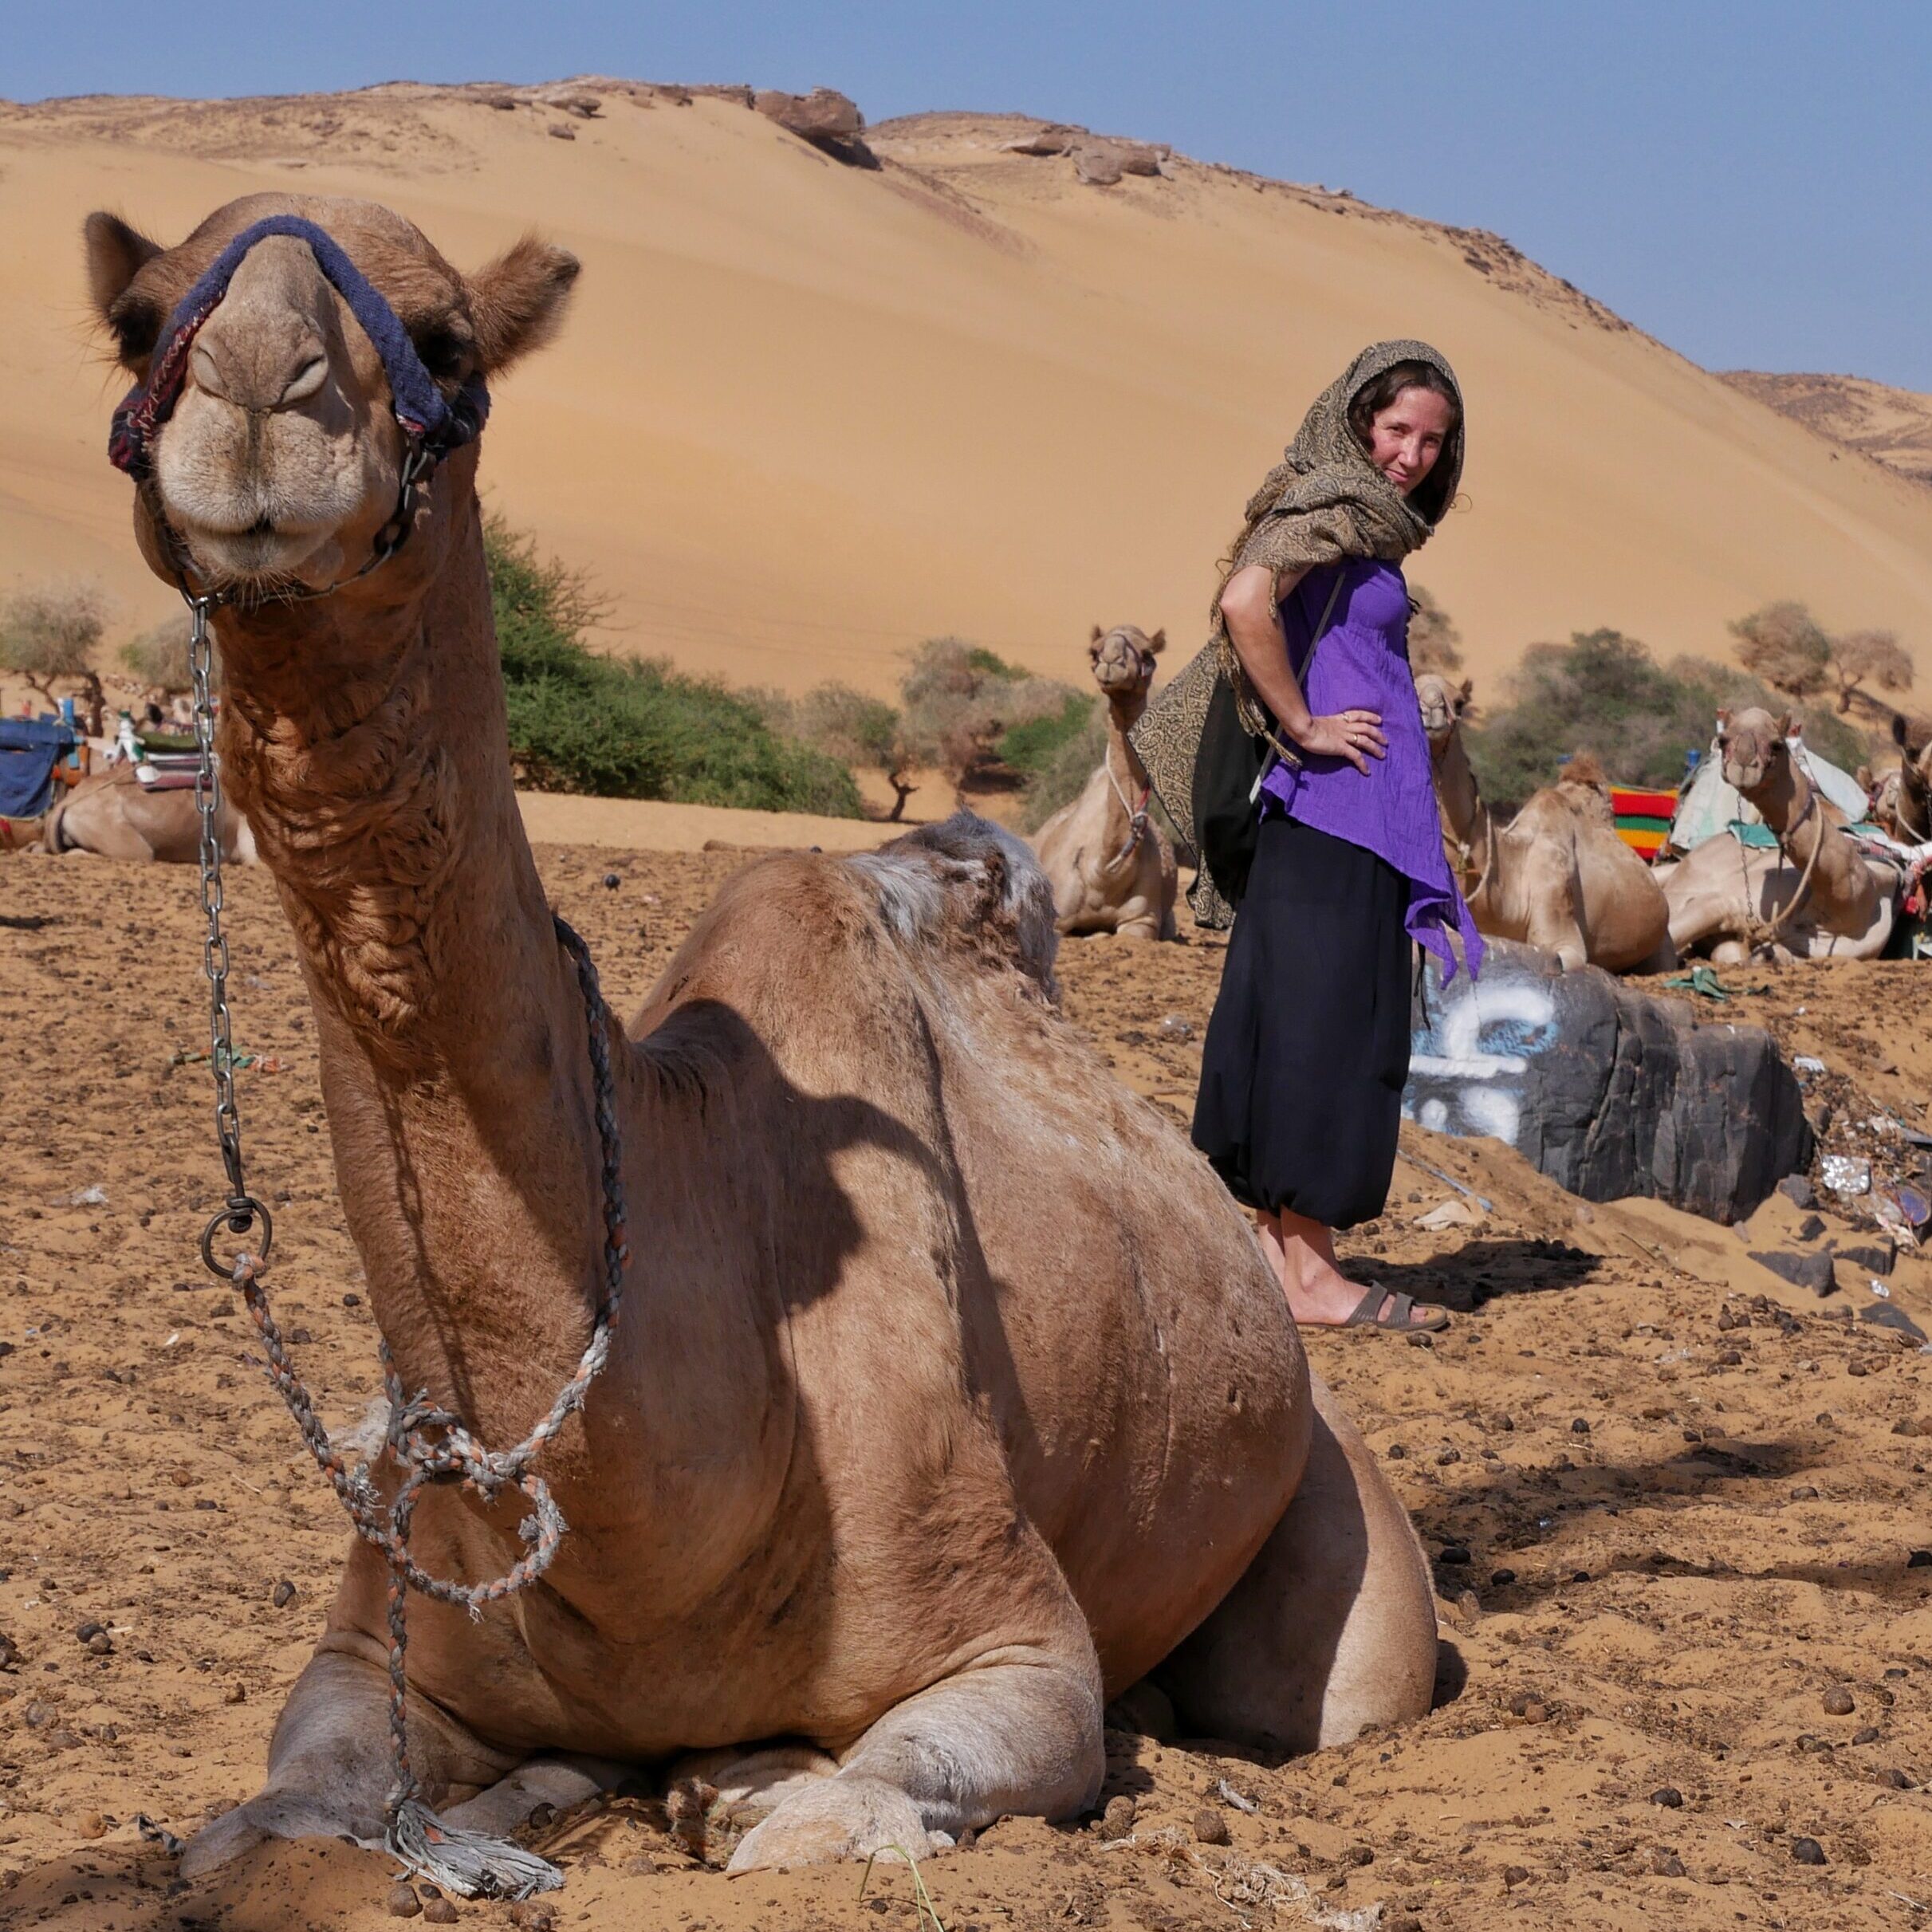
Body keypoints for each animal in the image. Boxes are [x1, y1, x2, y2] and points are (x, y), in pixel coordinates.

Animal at [1035, 626, 1182, 942]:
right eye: (1094, 651)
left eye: (1147, 653)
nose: (1112, 661)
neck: (1103, 874)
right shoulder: (1057, 918)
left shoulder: (1142, 920)